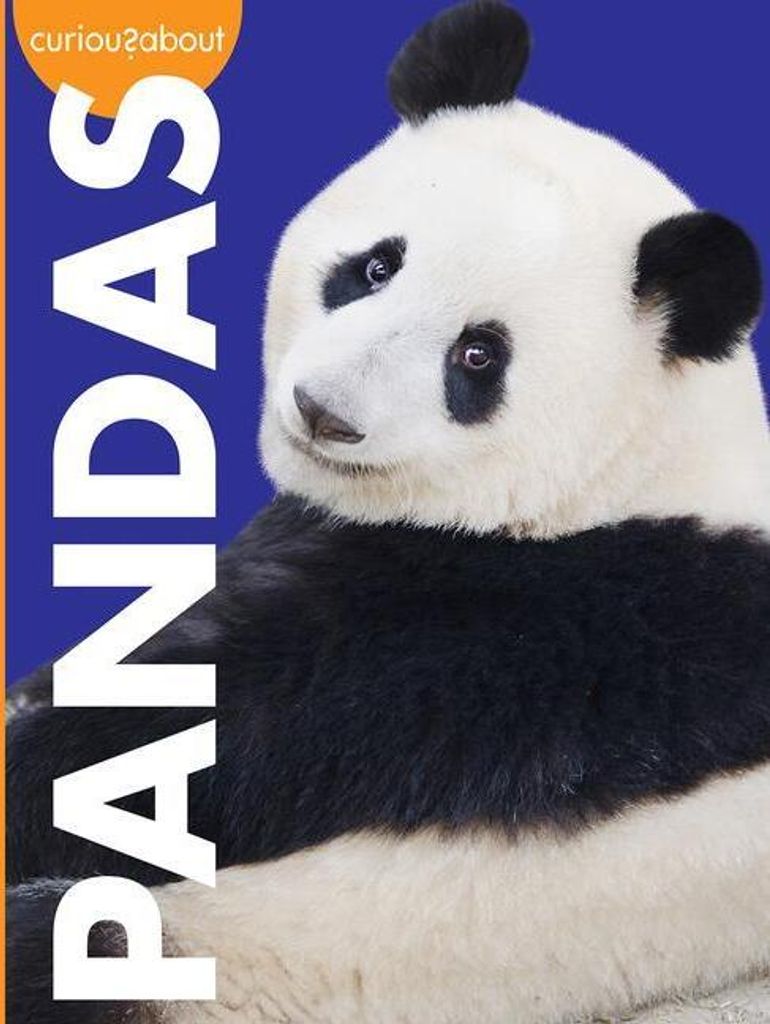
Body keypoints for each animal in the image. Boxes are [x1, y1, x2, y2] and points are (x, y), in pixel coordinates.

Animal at [7, 2, 770, 1023]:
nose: (321, 411)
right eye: (375, 267)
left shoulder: (596, 618)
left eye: (479, 356)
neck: (642, 466)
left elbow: (267, 721)